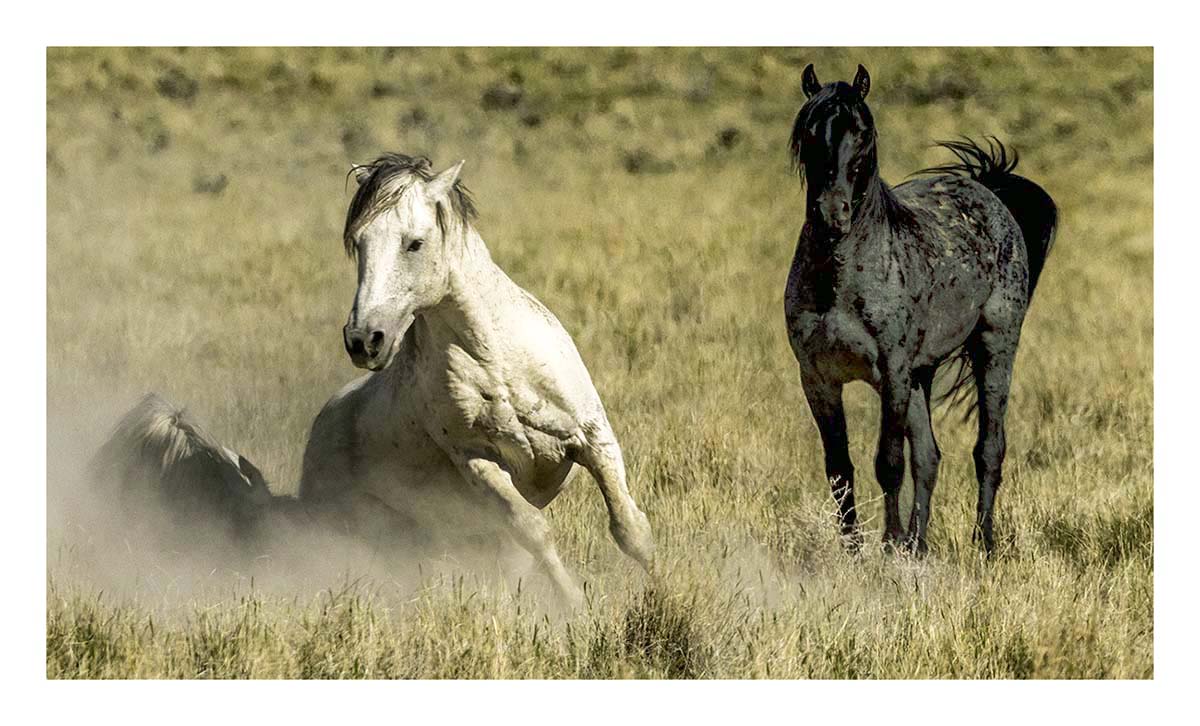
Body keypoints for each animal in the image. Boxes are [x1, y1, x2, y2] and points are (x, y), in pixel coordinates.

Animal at [295, 154, 656, 603]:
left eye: (414, 243)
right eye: (359, 242)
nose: (363, 340)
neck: (495, 362)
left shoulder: (593, 437)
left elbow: (631, 530)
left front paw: (665, 591)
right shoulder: (478, 461)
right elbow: (534, 532)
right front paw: (575, 605)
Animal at [783, 64, 1058, 555]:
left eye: (863, 131)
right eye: (809, 131)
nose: (834, 213)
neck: (841, 280)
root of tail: (988, 190)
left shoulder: (891, 373)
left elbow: (888, 462)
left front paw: (888, 545)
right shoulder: (818, 379)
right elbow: (840, 469)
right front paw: (855, 550)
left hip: (994, 348)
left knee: (988, 449)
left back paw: (982, 542)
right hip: (920, 373)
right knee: (929, 456)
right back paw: (918, 544)